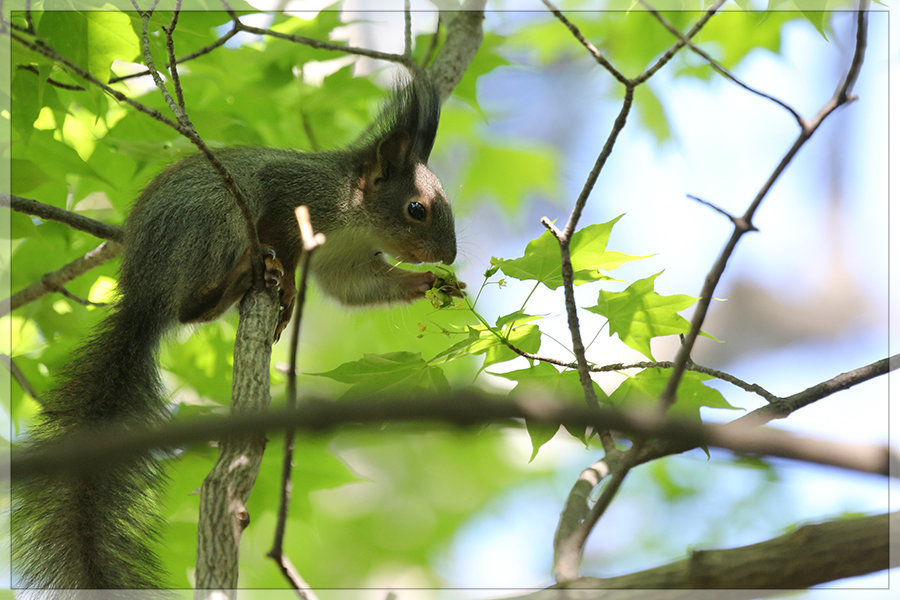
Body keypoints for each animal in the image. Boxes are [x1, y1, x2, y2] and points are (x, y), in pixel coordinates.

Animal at [12, 75, 464, 592]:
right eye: (416, 209)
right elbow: (286, 242)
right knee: (193, 301)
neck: (354, 210)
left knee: (193, 315)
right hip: (214, 217)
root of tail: (144, 295)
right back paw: (247, 271)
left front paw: (429, 283)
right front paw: (289, 288)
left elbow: (352, 289)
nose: (449, 257)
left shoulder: (345, 259)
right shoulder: (294, 199)